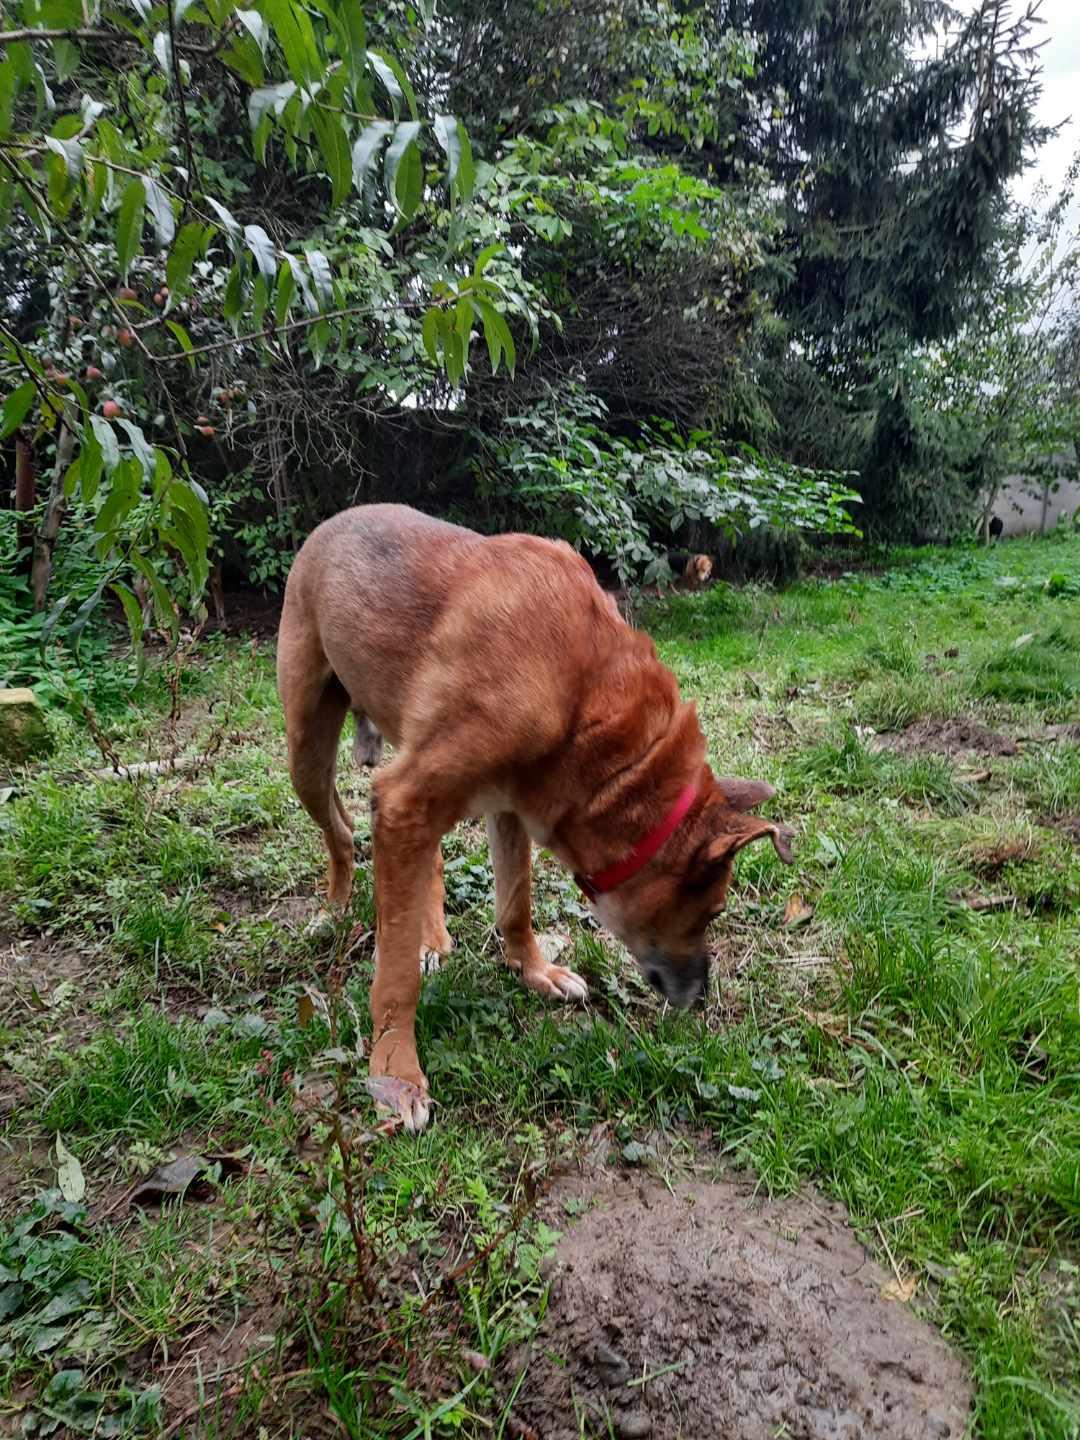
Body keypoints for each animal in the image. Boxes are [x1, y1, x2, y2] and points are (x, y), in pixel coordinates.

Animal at [278, 505, 793, 1130]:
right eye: (713, 911)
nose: (699, 1001)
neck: (576, 689)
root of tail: (333, 521)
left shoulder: (507, 808)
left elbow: (515, 905)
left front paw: (534, 971)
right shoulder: (406, 799)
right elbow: (395, 977)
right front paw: (395, 1070)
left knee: (425, 859)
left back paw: (431, 934)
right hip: (308, 751)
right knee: (343, 831)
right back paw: (334, 910)